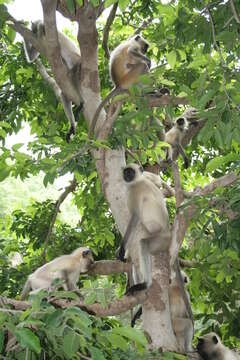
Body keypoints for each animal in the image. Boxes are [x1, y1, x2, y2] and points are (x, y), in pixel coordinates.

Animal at [117, 165, 171, 294]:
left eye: (131, 172)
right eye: (126, 172)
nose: (127, 176)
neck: (138, 181)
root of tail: (168, 230)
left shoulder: (133, 192)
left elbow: (134, 217)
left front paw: (122, 249)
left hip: (160, 238)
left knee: (143, 243)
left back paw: (145, 284)